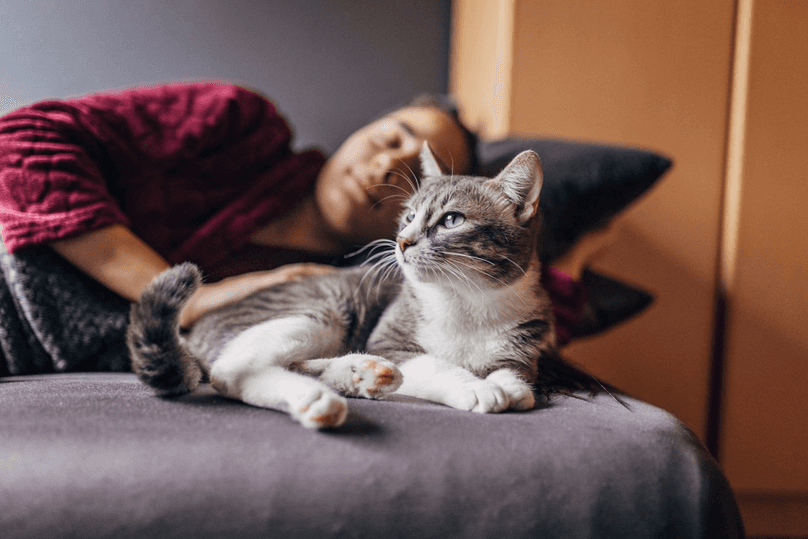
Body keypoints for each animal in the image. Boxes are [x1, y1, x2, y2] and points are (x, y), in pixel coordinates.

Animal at [129, 143, 564, 430]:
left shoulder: (524, 343)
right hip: (321, 309)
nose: (402, 241)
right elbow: (432, 363)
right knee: (230, 371)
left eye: (452, 220)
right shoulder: (390, 338)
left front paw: (506, 385)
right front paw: (476, 387)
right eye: (409, 216)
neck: (466, 301)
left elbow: (518, 378)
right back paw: (316, 398)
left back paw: (360, 374)